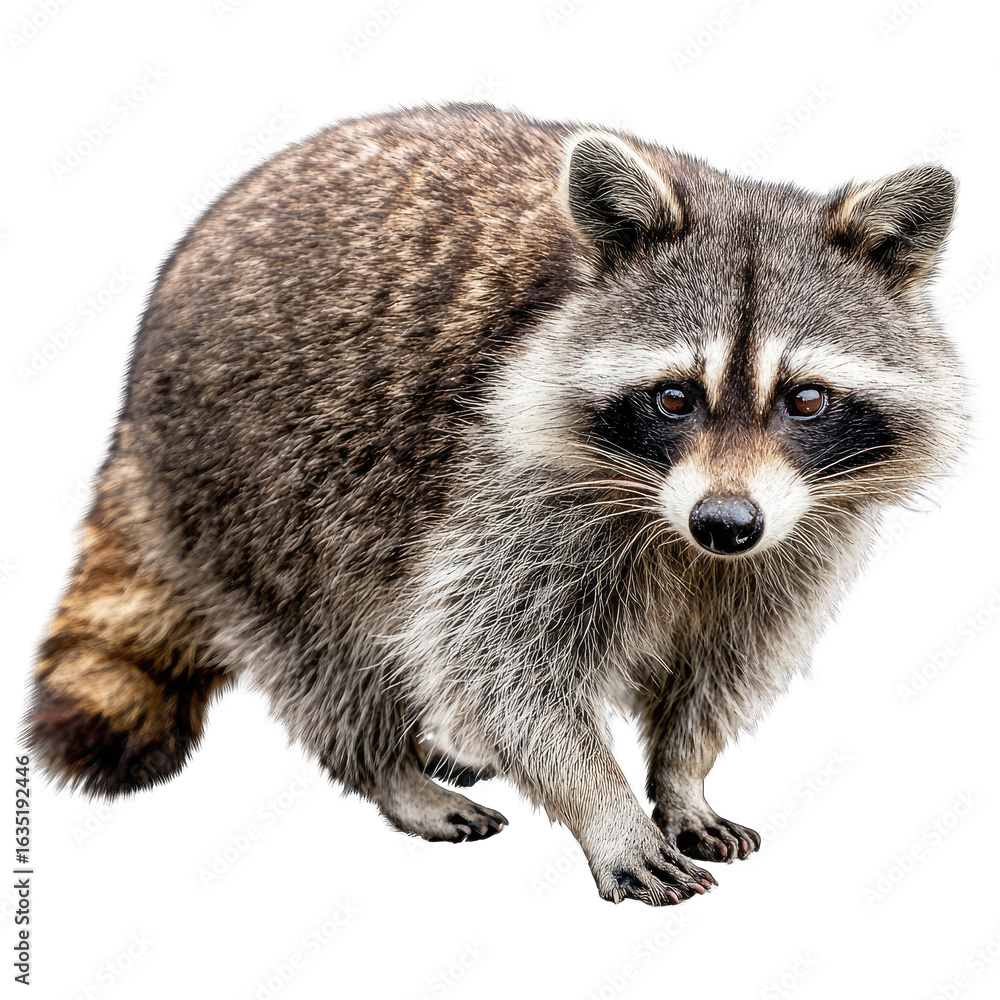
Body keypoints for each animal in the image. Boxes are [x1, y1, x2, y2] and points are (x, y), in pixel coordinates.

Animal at [27, 104, 963, 906]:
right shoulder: (516, 480)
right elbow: (504, 664)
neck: (678, 531)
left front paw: (682, 774)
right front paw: (606, 807)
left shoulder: (803, 531)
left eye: (806, 400)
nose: (725, 525)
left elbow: (726, 660)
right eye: (672, 398)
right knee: (323, 640)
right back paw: (389, 769)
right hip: (255, 478)